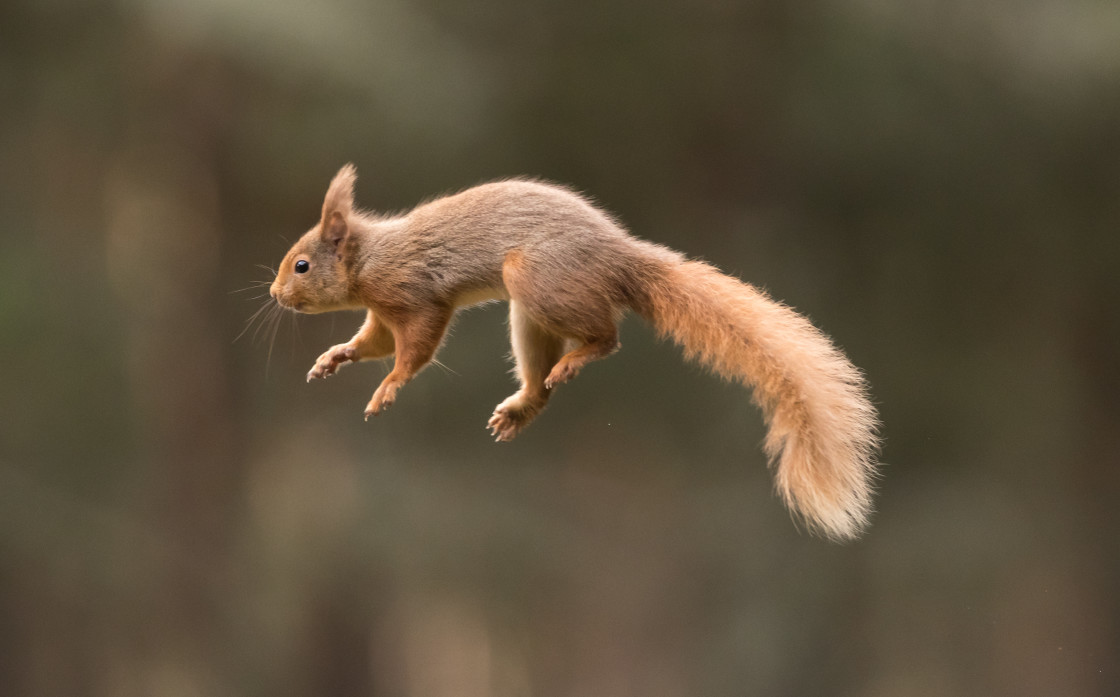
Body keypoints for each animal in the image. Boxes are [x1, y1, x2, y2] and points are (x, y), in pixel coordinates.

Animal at [266, 164, 878, 540]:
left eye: (301, 265)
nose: (273, 294)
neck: (369, 258)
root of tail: (619, 258)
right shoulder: (379, 312)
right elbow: (371, 341)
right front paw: (335, 358)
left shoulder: (415, 295)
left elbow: (416, 345)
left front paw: (389, 386)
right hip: (532, 310)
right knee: (542, 383)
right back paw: (521, 407)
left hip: (538, 279)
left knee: (608, 335)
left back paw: (580, 356)